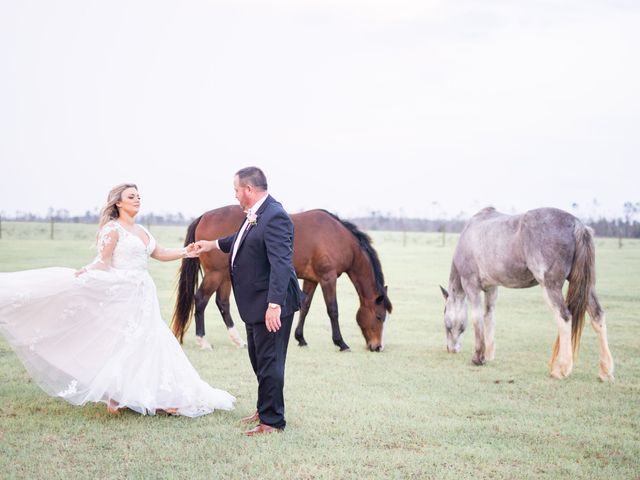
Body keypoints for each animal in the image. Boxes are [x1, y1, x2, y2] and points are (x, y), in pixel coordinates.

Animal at [170, 207, 392, 352]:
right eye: (379, 316)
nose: (377, 346)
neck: (338, 237)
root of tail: (204, 216)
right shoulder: (328, 278)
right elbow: (333, 310)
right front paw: (341, 343)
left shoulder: (312, 280)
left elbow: (305, 306)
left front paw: (300, 338)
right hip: (216, 274)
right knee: (200, 300)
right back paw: (203, 341)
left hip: (224, 275)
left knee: (222, 303)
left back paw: (238, 340)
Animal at [440, 208, 616, 380]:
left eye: (445, 317)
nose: (451, 349)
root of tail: (577, 224)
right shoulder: (492, 288)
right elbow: (489, 317)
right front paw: (488, 356)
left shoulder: (471, 285)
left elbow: (477, 319)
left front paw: (478, 357)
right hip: (587, 287)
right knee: (597, 316)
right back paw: (605, 371)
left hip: (550, 287)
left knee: (564, 318)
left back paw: (561, 369)